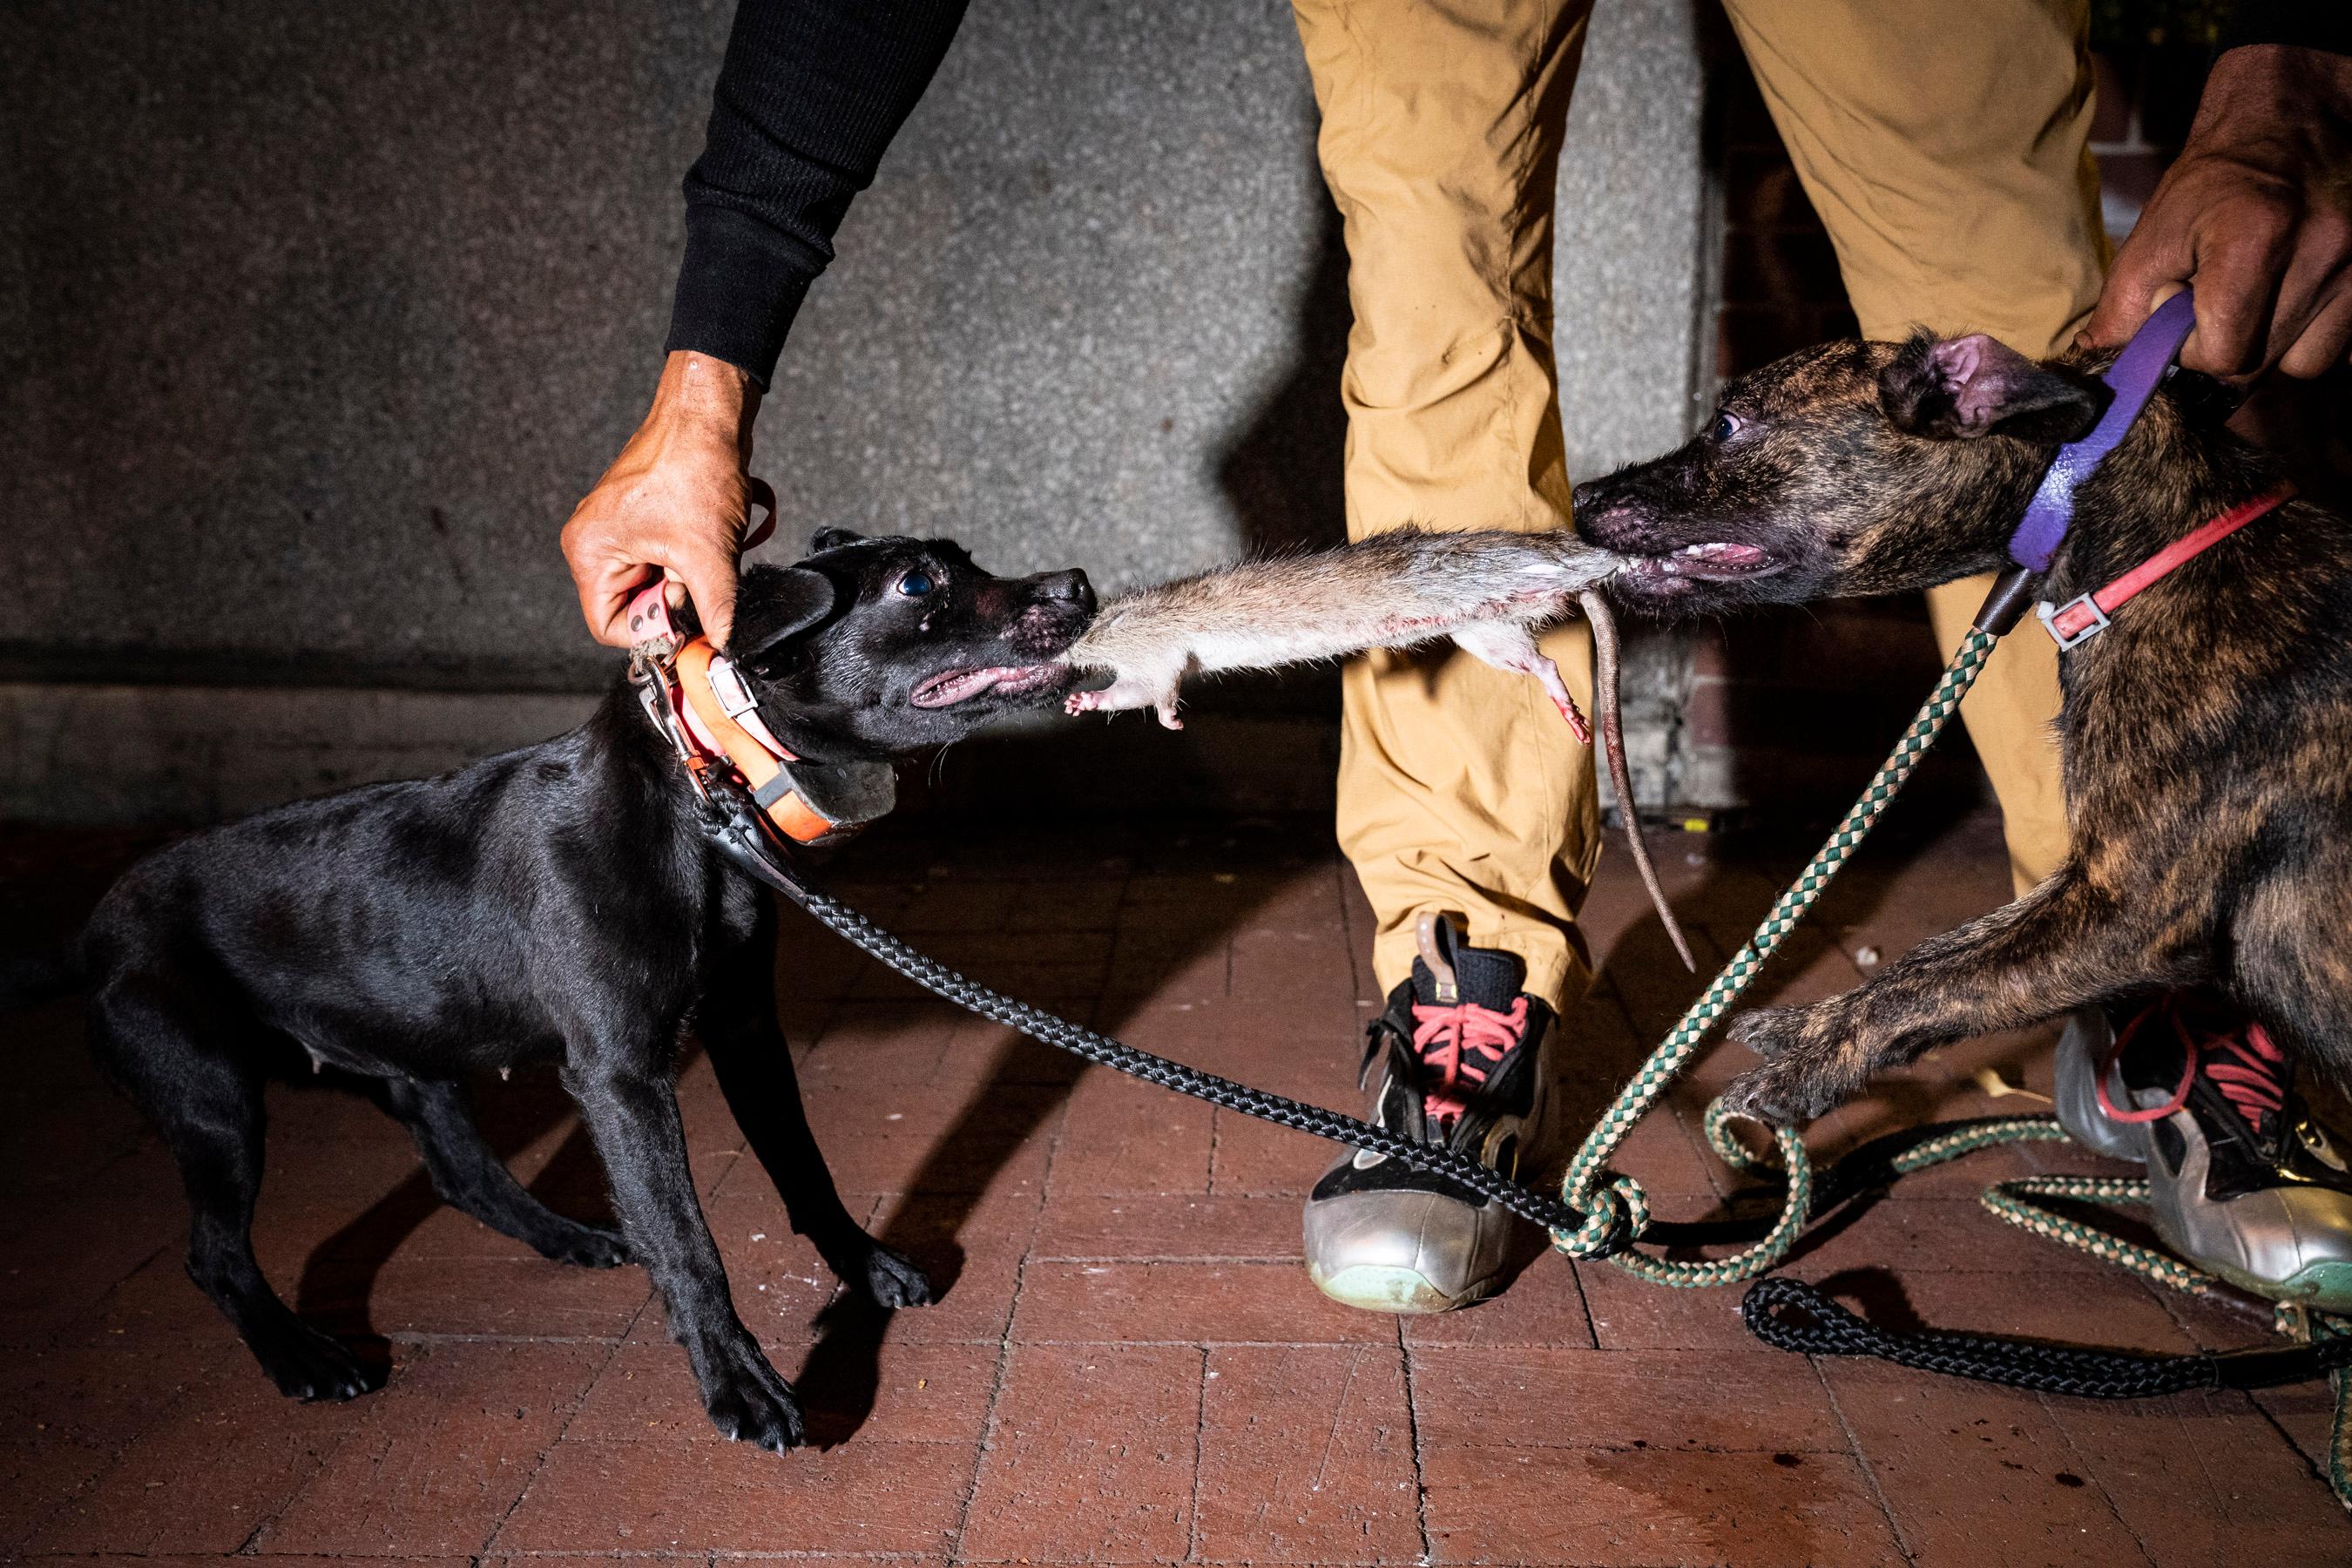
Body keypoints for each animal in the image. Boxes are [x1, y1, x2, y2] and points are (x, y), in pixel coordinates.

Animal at [48, 533, 1091, 1457]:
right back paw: (302, 1356)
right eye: (918, 583)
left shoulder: (746, 1027)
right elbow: (686, 1240)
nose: (1078, 582)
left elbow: (804, 1167)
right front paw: (741, 1386)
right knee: (214, 1254)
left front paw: (863, 1266)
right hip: (213, 1101)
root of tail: (91, 929)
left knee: (460, 1173)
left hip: (415, 1059)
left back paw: (566, 1238)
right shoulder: (620, 1076)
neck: (697, 800)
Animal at [1571, 334, 2342, 1128]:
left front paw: (1810, 1071)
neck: (2158, 552)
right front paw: (1810, 1028)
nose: (1579, 497)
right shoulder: (2083, 888)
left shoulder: (2128, 910)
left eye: (1728, 425)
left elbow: (1932, 985)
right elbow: (1934, 956)